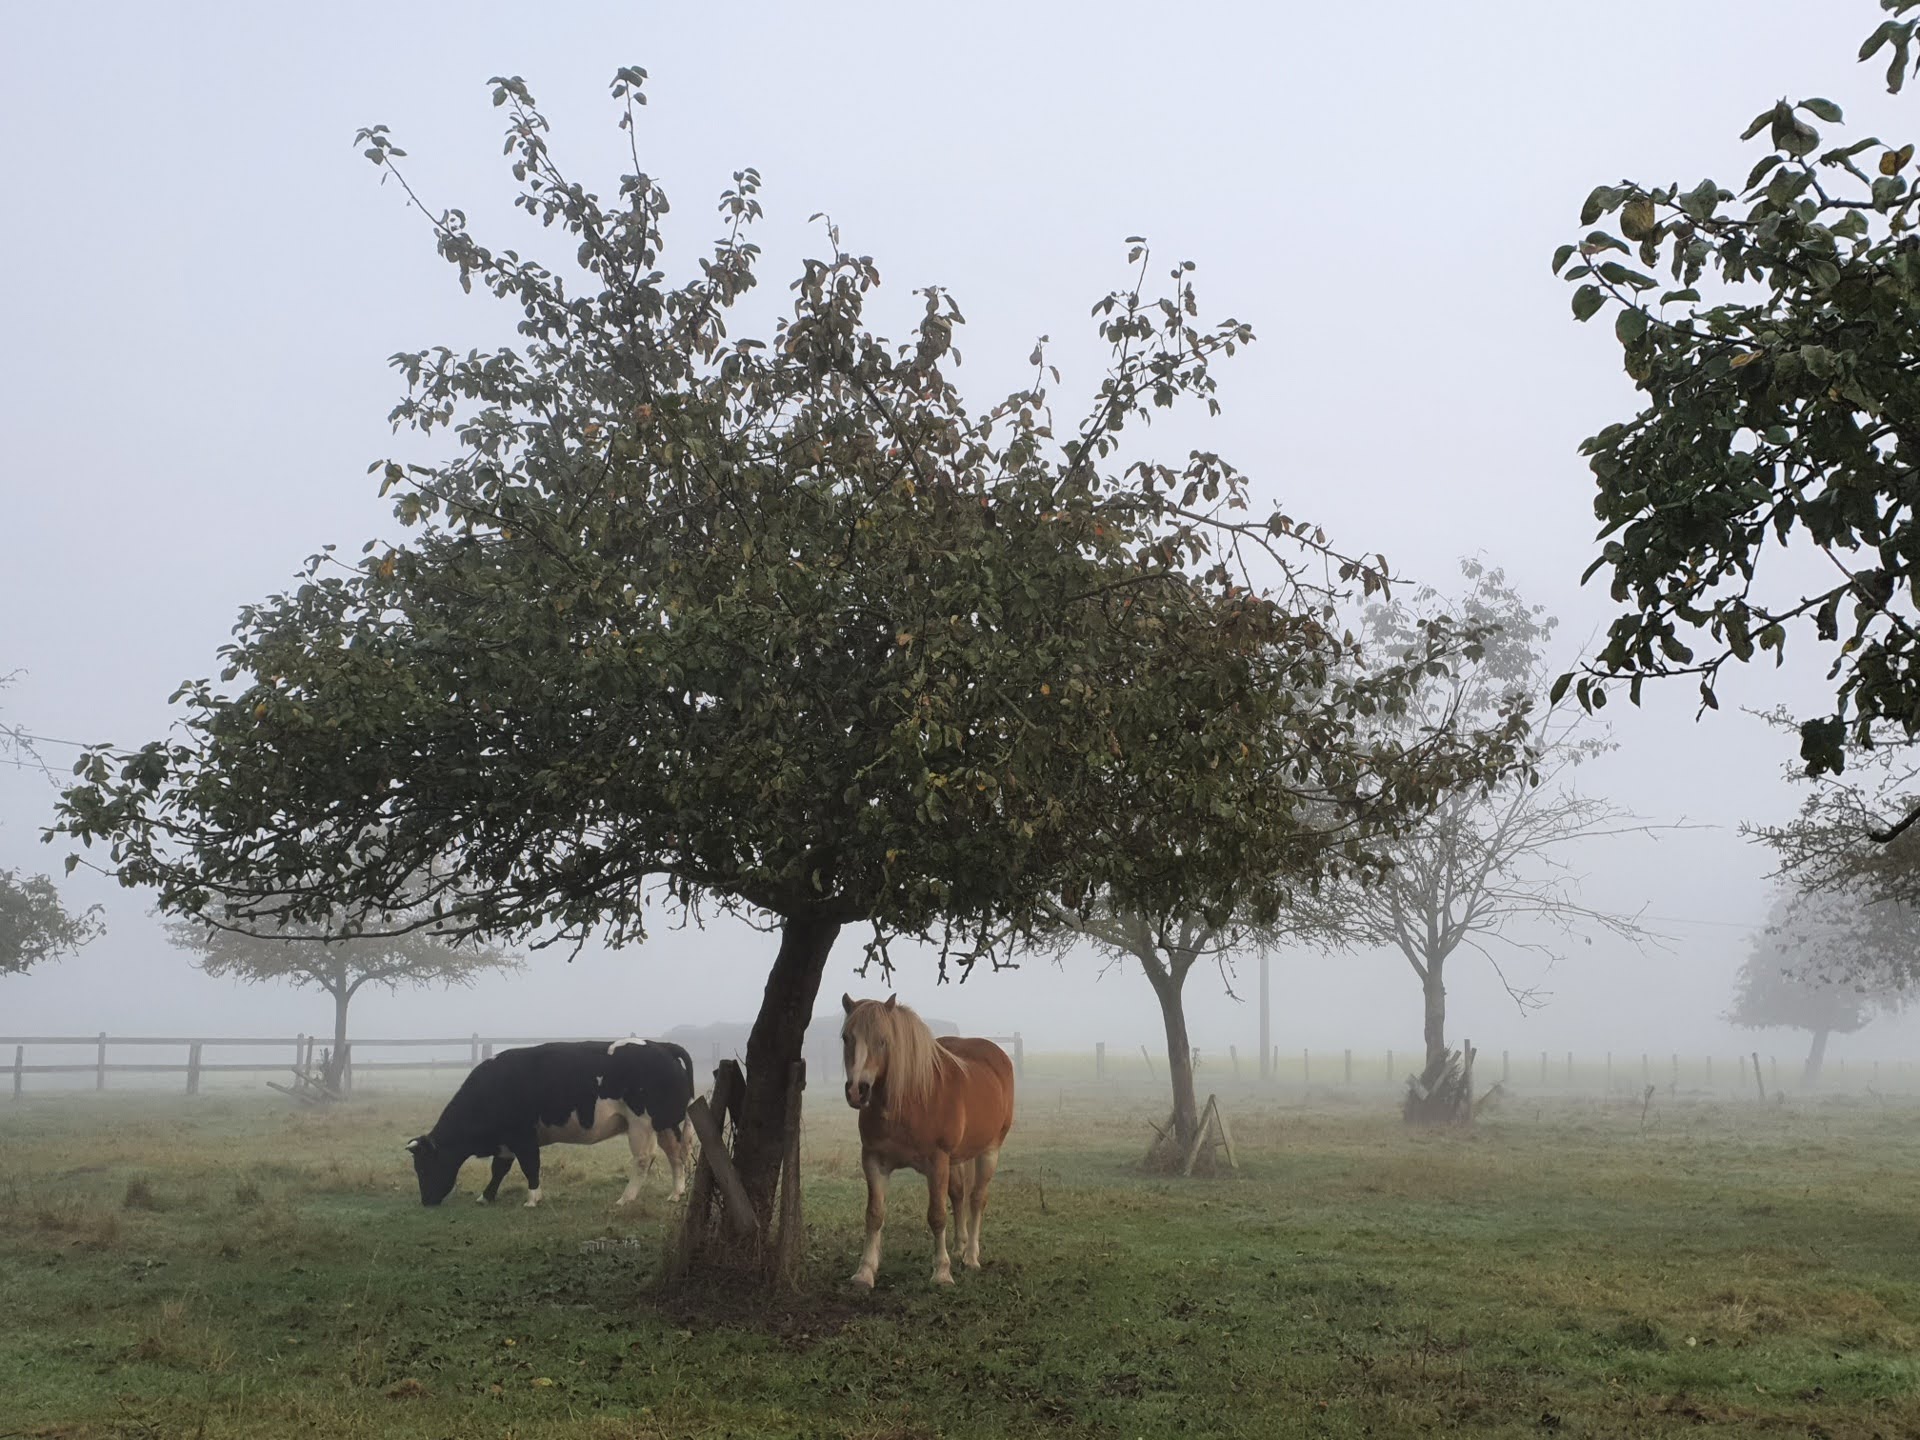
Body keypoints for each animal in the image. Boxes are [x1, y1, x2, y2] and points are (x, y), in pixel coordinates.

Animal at [405, 1039, 695, 1209]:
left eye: (424, 1166)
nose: (426, 1201)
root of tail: (661, 1046)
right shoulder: (506, 1142)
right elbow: (499, 1169)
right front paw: (486, 1196)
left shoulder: (523, 1137)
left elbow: (530, 1166)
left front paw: (533, 1198)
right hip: (665, 1123)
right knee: (676, 1155)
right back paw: (676, 1193)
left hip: (641, 1124)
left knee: (645, 1159)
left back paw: (626, 1198)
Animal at [840, 993, 1016, 1289]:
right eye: (846, 1037)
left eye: (883, 1040)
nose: (857, 1091)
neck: (908, 1100)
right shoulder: (873, 1160)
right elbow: (874, 1214)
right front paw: (864, 1272)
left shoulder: (937, 1162)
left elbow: (936, 1215)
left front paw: (942, 1273)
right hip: (957, 1159)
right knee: (958, 1194)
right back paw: (959, 1246)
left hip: (989, 1151)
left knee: (977, 1199)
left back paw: (971, 1257)